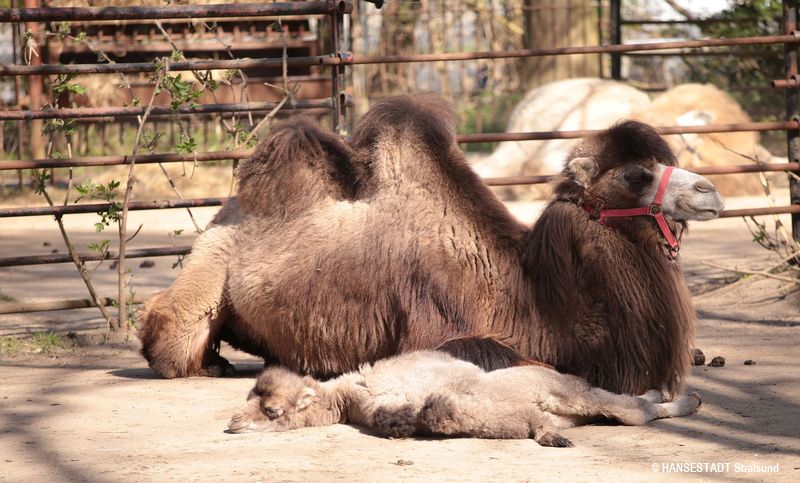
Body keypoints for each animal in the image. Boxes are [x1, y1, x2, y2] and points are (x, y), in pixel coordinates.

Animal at [138, 95, 724, 397]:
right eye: (635, 175)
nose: (710, 191)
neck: (533, 301)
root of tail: (229, 208)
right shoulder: (440, 326)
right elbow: (494, 358)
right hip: (210, 264)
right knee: (170, 335)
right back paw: (208, 364)